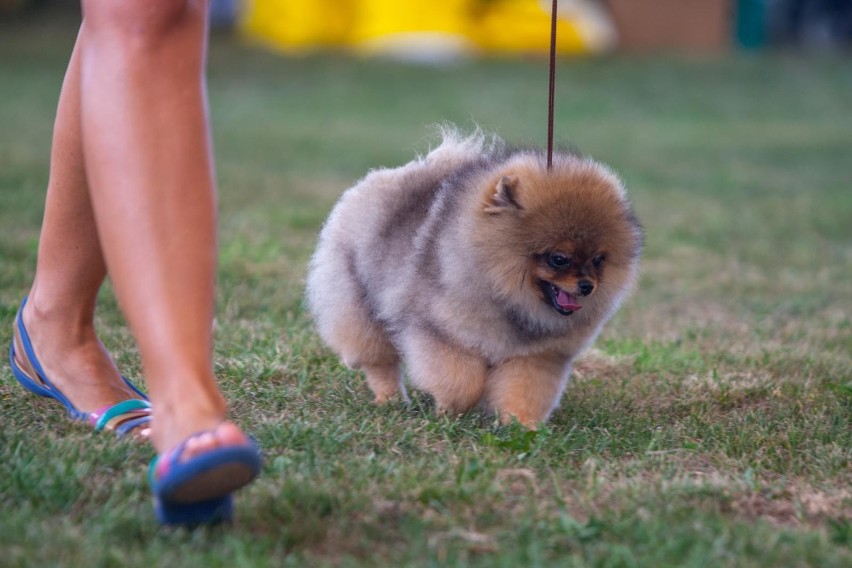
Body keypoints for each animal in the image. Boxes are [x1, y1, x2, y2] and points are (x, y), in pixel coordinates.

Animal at [302, 125, 644, 426]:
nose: (587, 286)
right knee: (379, 361)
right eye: (558, 259)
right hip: (358, 304)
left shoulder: (535, 356)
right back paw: (391, 399)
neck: (507, 299)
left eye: (599, 260)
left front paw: (523, 429)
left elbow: (525, 393)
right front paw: (449, 414)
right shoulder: (441, 335)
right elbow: (462, 385)